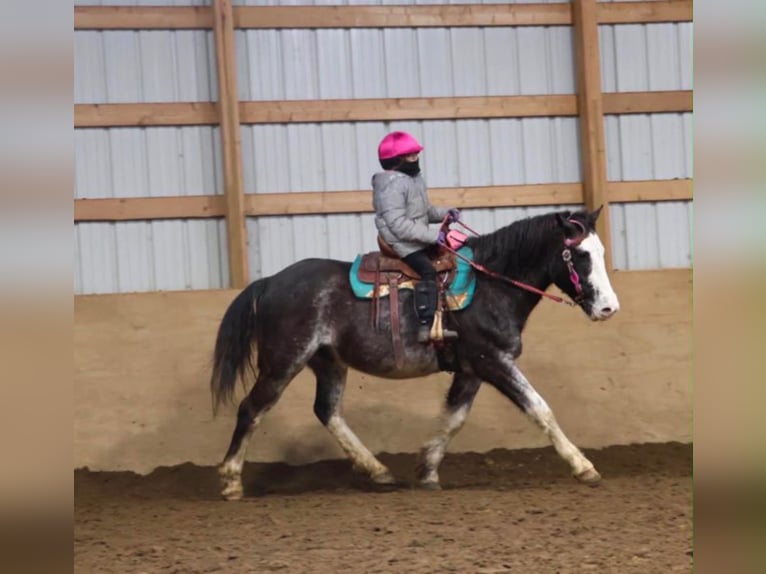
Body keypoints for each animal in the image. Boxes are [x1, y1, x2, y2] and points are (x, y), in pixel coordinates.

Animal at [209, 207, 619, 500]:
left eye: (599, 251)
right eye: (579, 254)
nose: (608, 308)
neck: (492, 284)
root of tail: (269, 282)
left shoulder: (471, 370)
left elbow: (453, 419)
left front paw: (427, 470)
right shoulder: (492, 361)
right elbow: (540, 408)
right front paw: (583, 466)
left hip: (328, 363)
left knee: (327, 411)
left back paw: (378, 471)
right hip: (282, 363)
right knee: (251, 409)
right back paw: (230, 481)